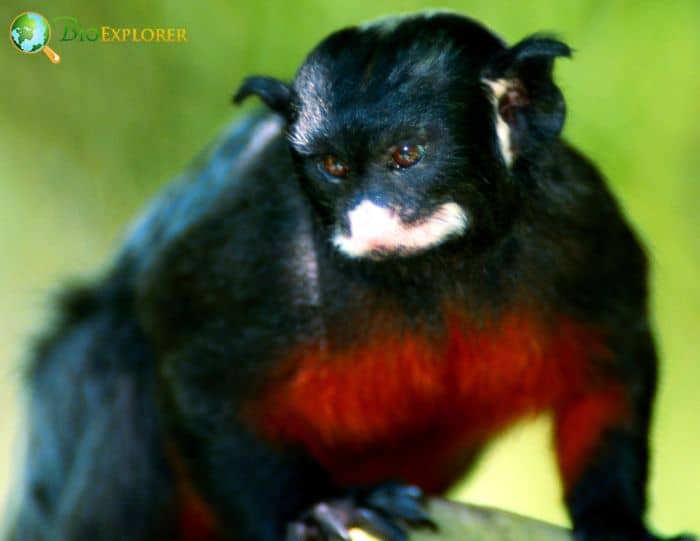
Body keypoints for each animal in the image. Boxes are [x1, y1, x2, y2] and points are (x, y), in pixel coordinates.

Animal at [4, 10, 696, 540]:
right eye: (334, 167)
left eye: (406, 156)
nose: (367, 216)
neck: (433, 273)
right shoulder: (251, 243)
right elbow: (192, 370)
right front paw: (317, 508)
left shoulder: (582, 224)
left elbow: (613, 368)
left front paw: (614, 519)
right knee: (110, 358)